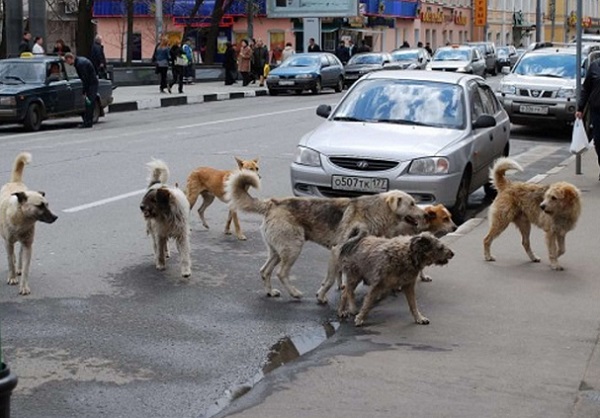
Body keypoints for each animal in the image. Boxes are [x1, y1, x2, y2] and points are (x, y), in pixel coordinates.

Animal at [0, 153, 58, 294]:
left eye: (47, 204)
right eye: (40, 205)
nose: (55, 217)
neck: (21, 220)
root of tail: (15, 182)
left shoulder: (28, 244)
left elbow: (26, 268)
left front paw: (24, 286)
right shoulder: (8, 242)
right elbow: (10, 261)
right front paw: (12, 277)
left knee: (20, 253)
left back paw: (19, 267)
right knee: (11, 256)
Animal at [225, 170, 426, 300]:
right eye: (412, 204)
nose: (425, 214)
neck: (375, 211)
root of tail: (272, 203)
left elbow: (331, 277)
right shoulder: (337, 251)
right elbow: (329, 280)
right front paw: (321, 297)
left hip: (277, 251)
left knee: (264, 271)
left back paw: (270, 292)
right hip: (293, 248)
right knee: (281, 273)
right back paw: (294, 293)